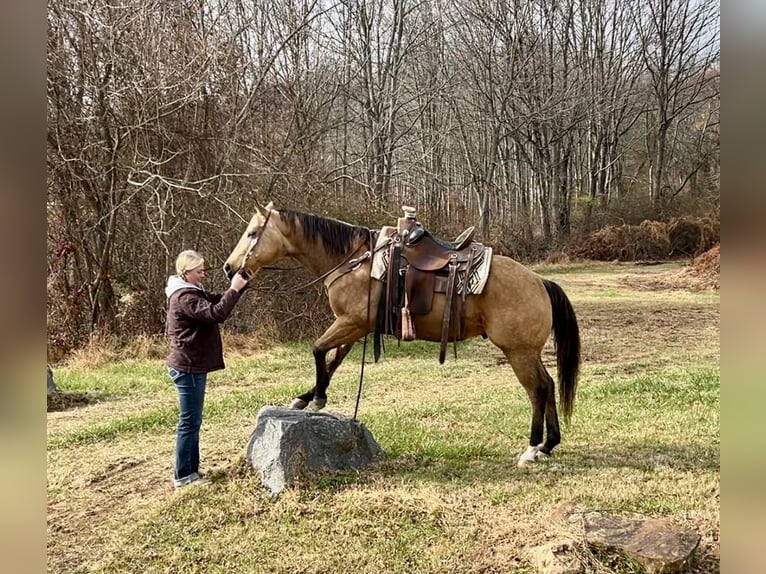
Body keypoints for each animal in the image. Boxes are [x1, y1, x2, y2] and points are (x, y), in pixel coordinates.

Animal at [224, 203, 581, 467]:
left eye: (253, 233)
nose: (229, 268)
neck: (354, 261)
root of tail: (539, 282)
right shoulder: (355, 327)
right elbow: (333, 359)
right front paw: (306, 397)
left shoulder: (350, 322)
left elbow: (318, 349)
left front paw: (317, 397)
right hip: (529, 352)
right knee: (549, 385)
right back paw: (549, 445)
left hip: (518, 351)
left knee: (537, 390)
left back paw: (531, 449)